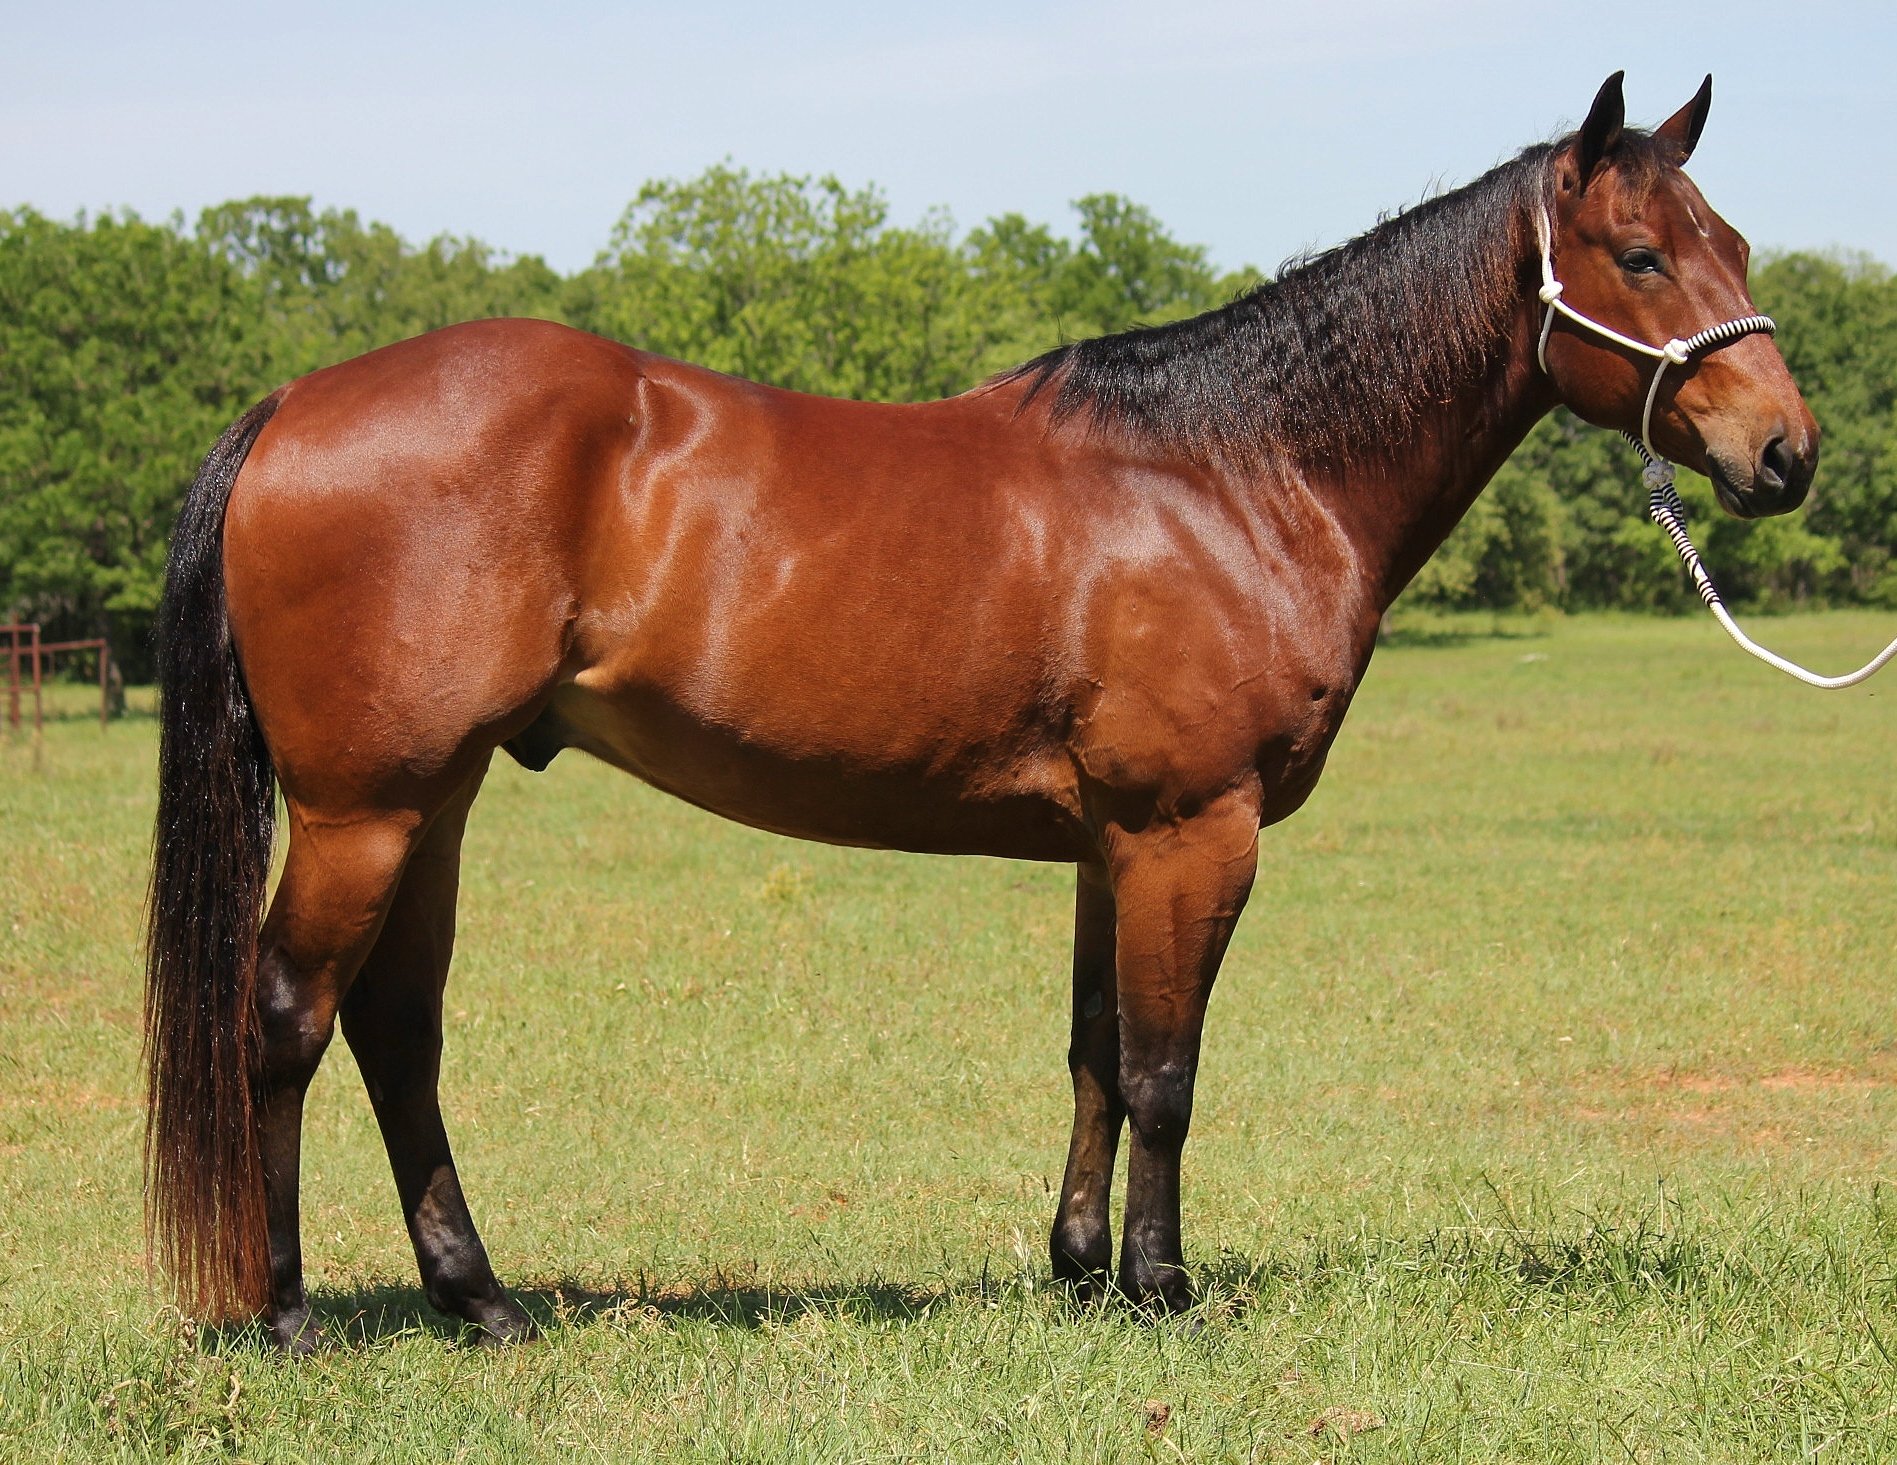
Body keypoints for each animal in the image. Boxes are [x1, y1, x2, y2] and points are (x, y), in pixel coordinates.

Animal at [144, 72, 1818, 1350]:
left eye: (1731, 239)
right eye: (1639, 255)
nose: (1786, 452)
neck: (1232, 475)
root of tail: (296, 403)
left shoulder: (1111, 845)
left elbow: (1092, 1052)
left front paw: (1079, 1273)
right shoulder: (1192, 830)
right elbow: (1163, 1071)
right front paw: (1162, 1288)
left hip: (435, 800)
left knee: (395, 1030)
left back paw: (482, 1301)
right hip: (367, 808)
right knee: (285, 1019)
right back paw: (287, 1313)